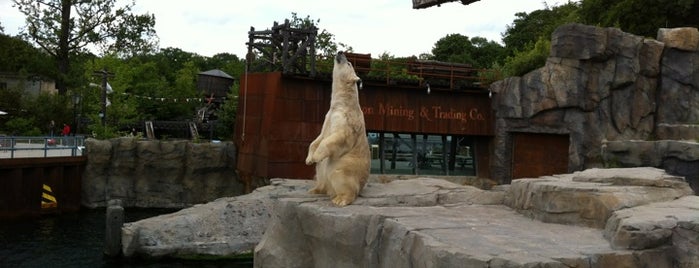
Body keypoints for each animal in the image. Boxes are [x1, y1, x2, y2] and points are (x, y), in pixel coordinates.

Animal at [306, 50, 372, 207]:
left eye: (348, 63)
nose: (340, 52)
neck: (343, 103)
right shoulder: (328, 116)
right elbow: (319, 137)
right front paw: (309, 159)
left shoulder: (346, 119)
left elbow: (338, 137)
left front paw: (316, 155)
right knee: (320, 173)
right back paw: (315, 190)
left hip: (346, 168)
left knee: (340, 176)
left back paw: (340, 199)